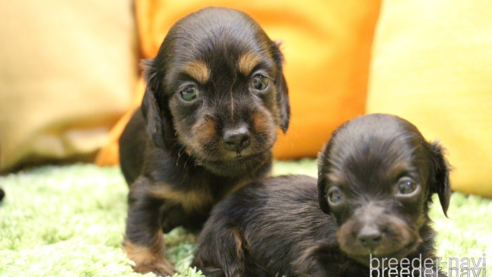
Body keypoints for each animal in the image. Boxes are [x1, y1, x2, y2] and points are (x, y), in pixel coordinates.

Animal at [118, 7, 288, 276]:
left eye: (259, 81)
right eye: (189, 92)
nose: (237, 137)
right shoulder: (148, 190)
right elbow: (142, 229)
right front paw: (151, 264)